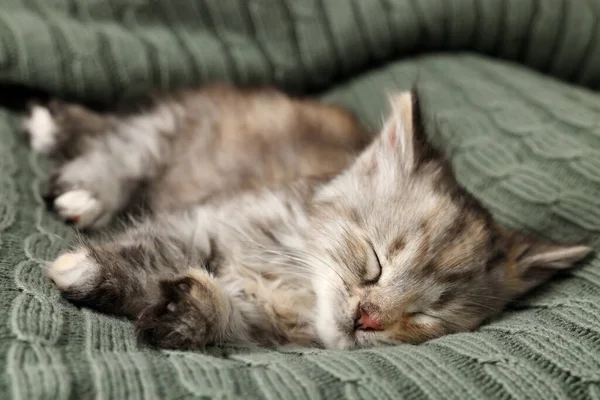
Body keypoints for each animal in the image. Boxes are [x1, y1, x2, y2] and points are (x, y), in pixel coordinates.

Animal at [22, 86, 592, 348]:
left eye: (428, 314)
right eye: (374, 262)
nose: (367, 318)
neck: (295, 286)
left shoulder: (261, 329)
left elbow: (223, 316)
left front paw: (186, 311)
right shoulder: (204, 223)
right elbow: (148, 249)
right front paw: (83, 270)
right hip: (168, 134)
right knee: (119, 146)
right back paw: (78, 180)